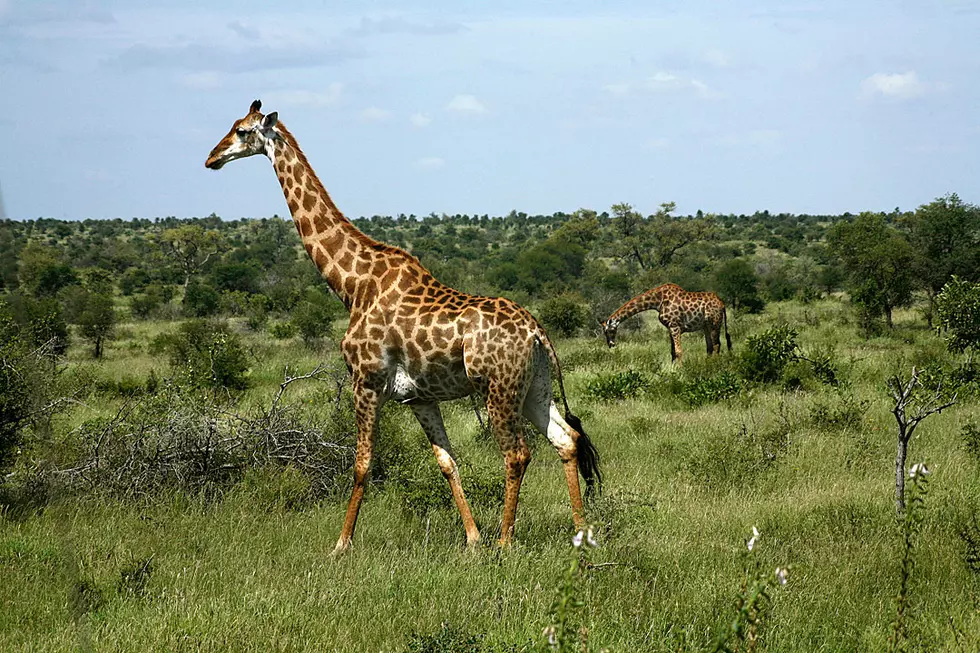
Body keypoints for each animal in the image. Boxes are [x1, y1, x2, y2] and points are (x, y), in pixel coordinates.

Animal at [206, 100, 600, 552]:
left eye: (240, 131)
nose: (211, 158)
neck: (353, 285)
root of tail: (537, 332)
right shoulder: (418, 397)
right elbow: (447, 462)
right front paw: (472, 539)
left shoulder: (366, 379)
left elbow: (361, 464)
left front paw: (341, 545)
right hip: (534, 386)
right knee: (565, 440)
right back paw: (580, 532)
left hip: (497, 389)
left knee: (517, 454)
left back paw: (506, 542)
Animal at [600, 280, 732, 362]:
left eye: (608, 331)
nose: (610, 344)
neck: (658, 301)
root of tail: (722, 304)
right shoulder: (670, 327)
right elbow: (672, 351)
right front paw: (673, 369)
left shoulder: (674, 326)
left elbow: (678, 351)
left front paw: (680, 370)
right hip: (706, 326)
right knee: (709, 347)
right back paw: (707, 365)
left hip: (715, 323)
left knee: (716, 345)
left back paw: (714, 365)